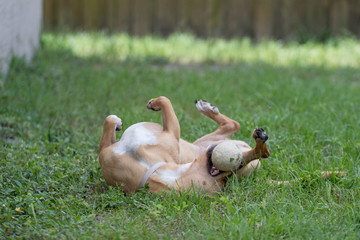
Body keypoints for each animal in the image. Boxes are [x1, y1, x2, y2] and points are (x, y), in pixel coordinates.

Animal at [98, 95, 270, 193]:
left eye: (227, 176)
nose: (239, 163)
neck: (152, 170)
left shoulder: (172, 132)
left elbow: (165, 100)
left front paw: (154, 103)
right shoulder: (107, 149)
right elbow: (109, 119)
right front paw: (117, 123)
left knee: (243, 134)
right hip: (207, 140)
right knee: (233, 125)